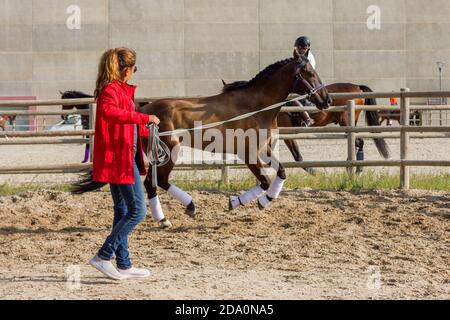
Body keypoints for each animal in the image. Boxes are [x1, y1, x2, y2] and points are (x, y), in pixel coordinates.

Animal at [74, 53, 330, 225]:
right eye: (309, 73)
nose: (326, 100)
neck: (256, 107)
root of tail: (145, 110)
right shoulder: (248, 154)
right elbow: (265, 182)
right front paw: (247, 202)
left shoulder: (264, 151)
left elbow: (281, 173)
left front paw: (251, 201)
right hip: (170, 152)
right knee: (157, 183)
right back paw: (177, 213)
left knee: (155, 184)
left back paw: (174, 213)